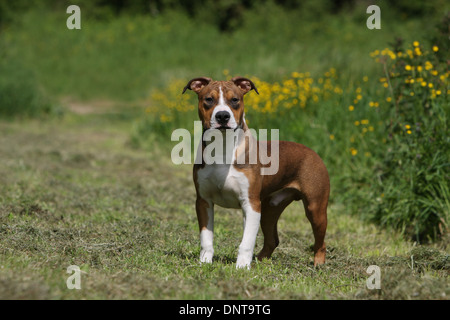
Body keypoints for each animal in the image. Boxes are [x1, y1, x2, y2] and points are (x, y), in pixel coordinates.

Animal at [181, 76, 328, 268]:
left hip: (315, 208)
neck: (223, 147)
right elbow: (206, 237)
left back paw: (318, 264)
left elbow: (247, 241)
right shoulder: (204, 202)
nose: (222, 116)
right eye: (209, 99)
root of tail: (313, 152)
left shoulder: (251, 204)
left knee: (320, 241)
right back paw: (259, 259)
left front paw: (242, 267)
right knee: (272, 239)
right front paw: (205, 262)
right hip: (270, 208)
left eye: (235, 100)